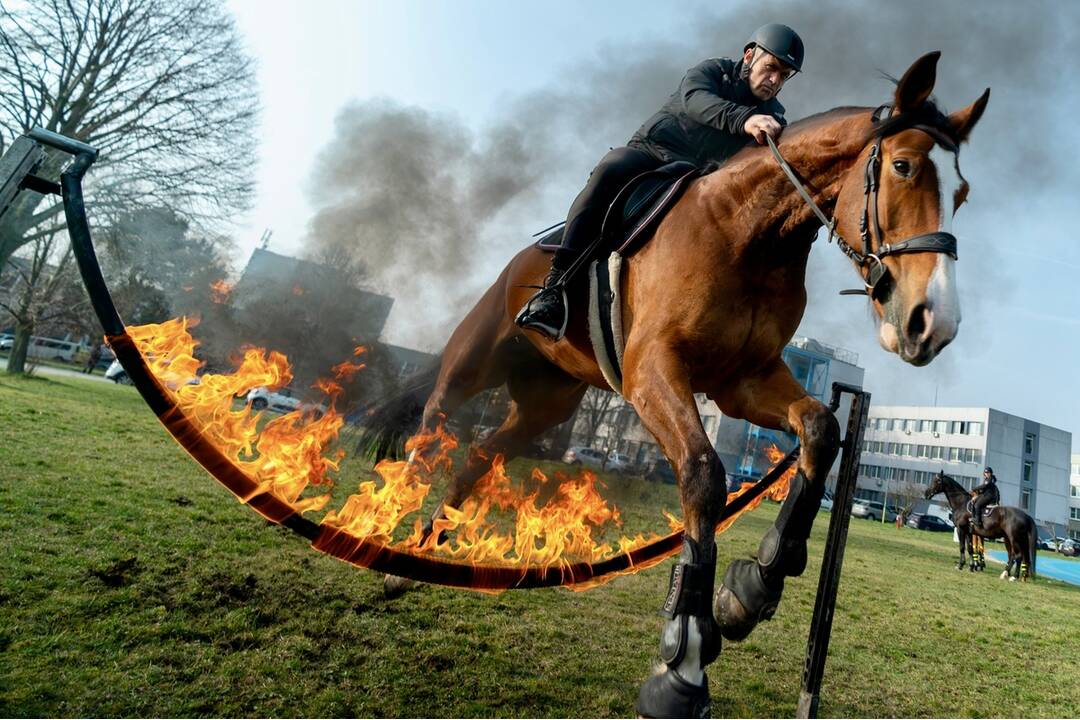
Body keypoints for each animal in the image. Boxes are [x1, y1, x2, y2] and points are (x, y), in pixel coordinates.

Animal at [360, 53, 989, 716]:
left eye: (962, 194)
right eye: (903, 166)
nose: (932, 325)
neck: (749, 232)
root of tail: (525, 259)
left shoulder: (744, 380)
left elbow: (819, 430)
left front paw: (751, 589)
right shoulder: (653, 373)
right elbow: (704, 476)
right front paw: (683, 658)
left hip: (546, 404)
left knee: (481, 453)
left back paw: (416, 558)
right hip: (475, 358)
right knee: (431, 424)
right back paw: (387, 533)